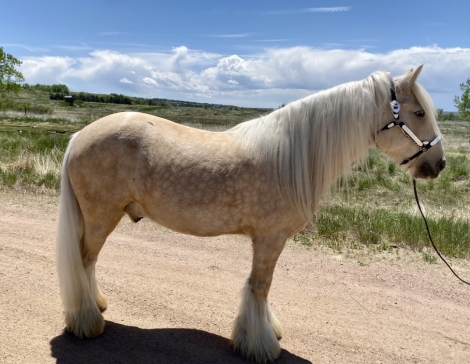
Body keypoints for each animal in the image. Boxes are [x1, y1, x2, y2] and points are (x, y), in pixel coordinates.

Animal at [55, 64, 444, 362]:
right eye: (419, 113)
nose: (437, 165)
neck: (291, 158)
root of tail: (78, 136)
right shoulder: (270, 238)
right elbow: (259, 286)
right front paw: (259, 346)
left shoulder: (269, 240)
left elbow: (262, 290)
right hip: (101, 216)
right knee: (85, 259)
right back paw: (86, 322)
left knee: (88, 262)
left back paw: (96, 306)